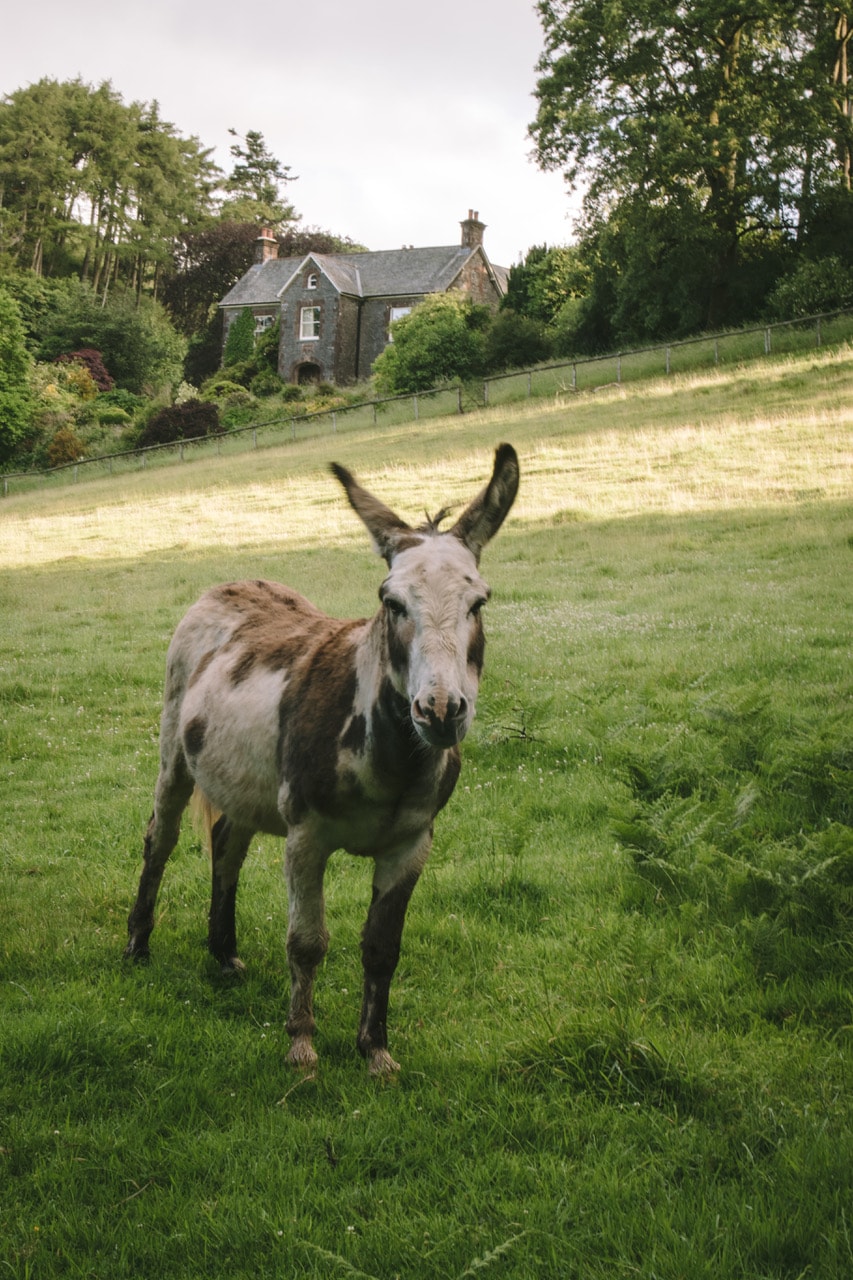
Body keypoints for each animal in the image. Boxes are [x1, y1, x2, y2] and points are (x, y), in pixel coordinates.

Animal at [124, 443, 520, 1075]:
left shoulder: (412, 844)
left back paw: (223, 953)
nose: (439, 712)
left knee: (228, 846)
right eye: (391, 603)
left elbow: (382, 948)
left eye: (479, 602)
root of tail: (233, 583)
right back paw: (138, 943)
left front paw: (375, 1051)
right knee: (159, 839)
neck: (391, 762)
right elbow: (307, 942)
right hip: (174, 754)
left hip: (244, 778)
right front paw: (302, 1048)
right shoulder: (306, 836)